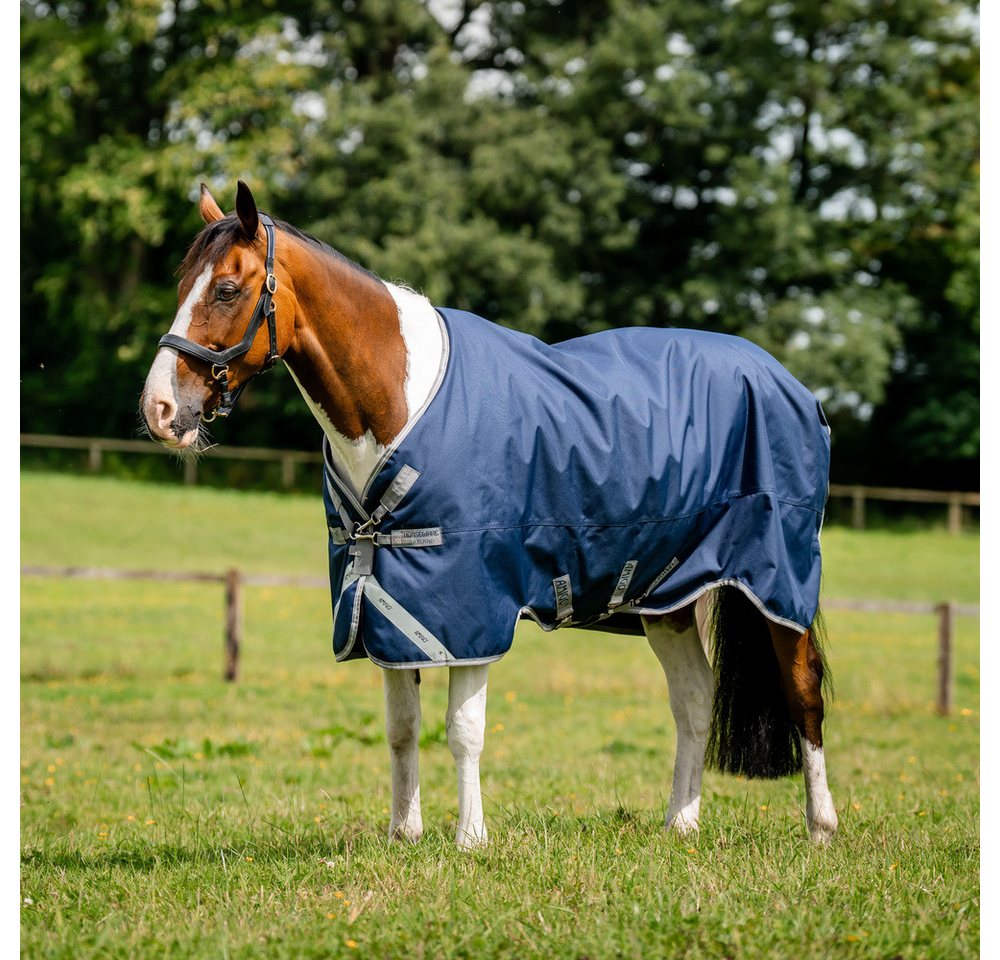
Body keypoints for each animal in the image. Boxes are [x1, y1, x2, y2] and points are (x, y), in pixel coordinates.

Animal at [140, 181, 838, 848]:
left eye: (227, 288)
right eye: (180, 285)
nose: (159, 410)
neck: (398, 399)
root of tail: (789, 383)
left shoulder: (470, 608)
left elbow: (463, 729)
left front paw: (470, 839)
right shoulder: (389, 606)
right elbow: (401, 727)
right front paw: (403, 833)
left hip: (777, 582)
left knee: (802, 691)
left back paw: (820, 827)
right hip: (667, 596)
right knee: (694, 701)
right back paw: (681, 824)